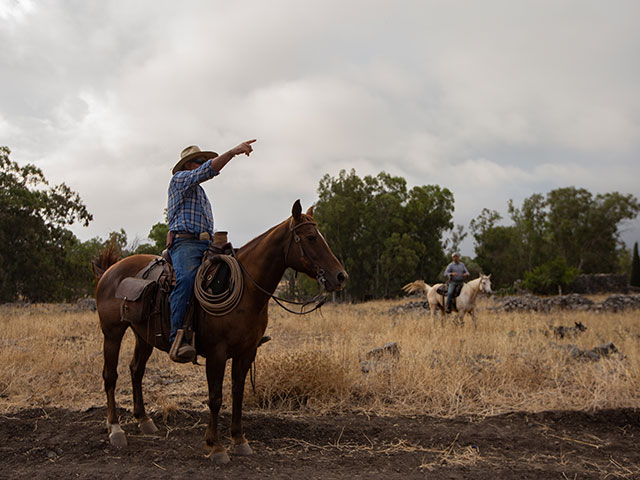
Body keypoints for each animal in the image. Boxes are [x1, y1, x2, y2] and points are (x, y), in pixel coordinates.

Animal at [95, 201, 348, 464]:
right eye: (310, 238)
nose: (341, 276)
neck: (247, 290)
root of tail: (110, 270)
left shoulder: (246, 352)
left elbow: (237, 393)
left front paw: (239, 440)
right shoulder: (217, 353)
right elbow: (215, 397)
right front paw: (215, 446)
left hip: (143, 336)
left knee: (136, 370)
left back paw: (144, 420)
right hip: (112, 333)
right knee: (110, 375)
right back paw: (115, 429)